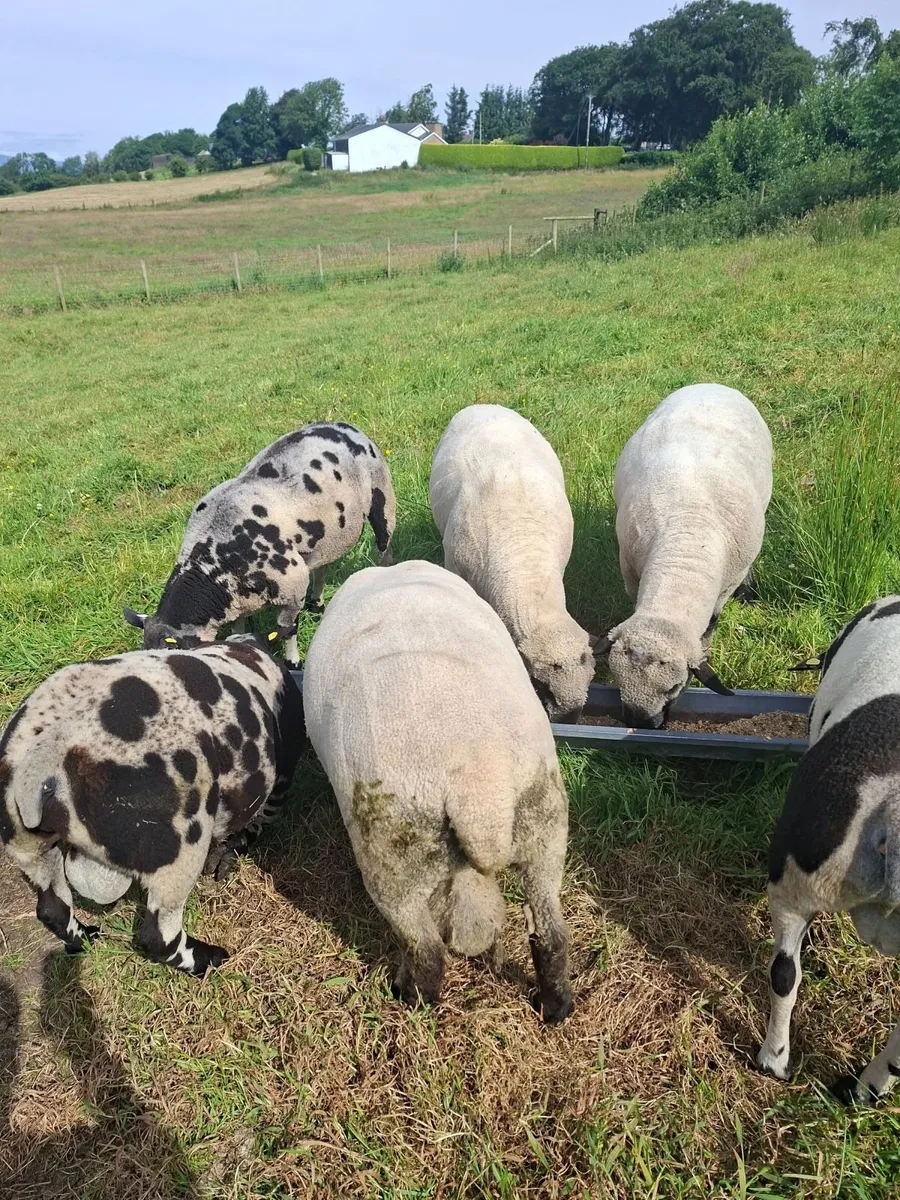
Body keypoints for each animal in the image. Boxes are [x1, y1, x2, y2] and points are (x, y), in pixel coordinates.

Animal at [0, 635, 304, 975]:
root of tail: (41, 764)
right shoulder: (280, 776)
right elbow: (259, 821)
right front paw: (229, 853)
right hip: (180, 846)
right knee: (158, 937)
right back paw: (209, 959)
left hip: (28, 847)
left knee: (51, 908)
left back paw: (85, 937)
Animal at [125, 421, 396, 665]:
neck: (215, 562)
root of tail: (344, 426)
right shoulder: (239, 600)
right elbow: (238, 626)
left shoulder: (292, 588)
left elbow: (288, 631)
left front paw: (293, 662)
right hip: (326, 536)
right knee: (322, 566)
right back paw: (317, 604)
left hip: (382, 497)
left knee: (385, 547)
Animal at [302, 559, 573, 1023]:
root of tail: (479, 789)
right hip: (544, 824)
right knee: (551, 934)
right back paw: (554, 1006)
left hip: (393, 853)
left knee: (426, 951)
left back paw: (412, 1000)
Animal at [596, 383, 772, 728]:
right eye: (617, 680)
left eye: (675, 687)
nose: (643, 724)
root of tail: (712, 385)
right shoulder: (631, 572)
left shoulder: (724, 587)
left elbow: (711, 625)